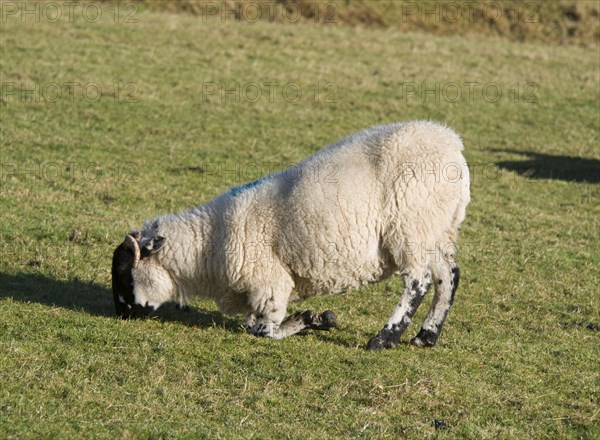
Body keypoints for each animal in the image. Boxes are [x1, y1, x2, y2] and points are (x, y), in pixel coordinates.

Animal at [111, 118, 468, 348]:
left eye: (126, 275)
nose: (121, 316)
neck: (206, 246)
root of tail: (454, 146)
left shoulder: (269, 285)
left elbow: (261, 330)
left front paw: (310, 319)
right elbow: (254, 325)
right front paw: (316, 318)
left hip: (411, 226)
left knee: (418, 281)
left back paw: (384, 339)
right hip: (437, 229)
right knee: (448, 276)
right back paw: (426, 336)